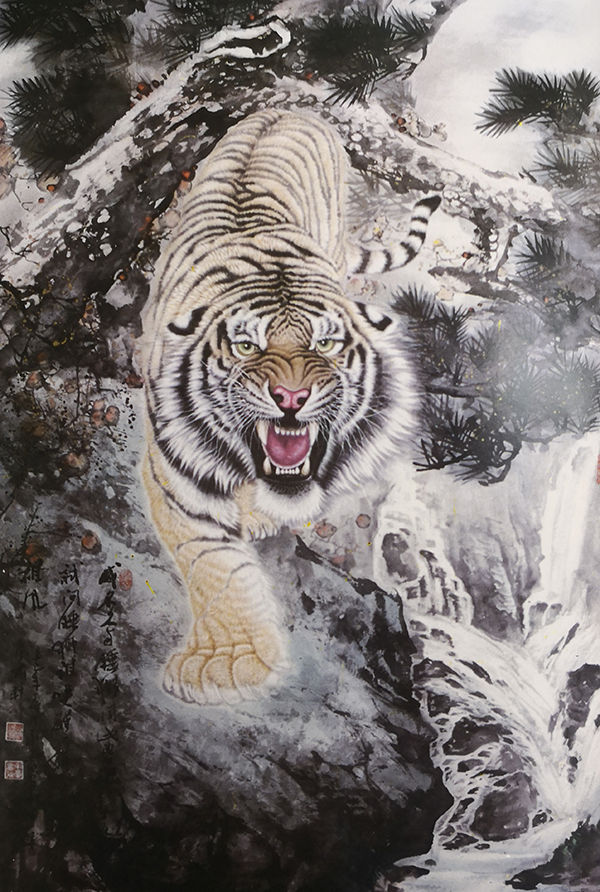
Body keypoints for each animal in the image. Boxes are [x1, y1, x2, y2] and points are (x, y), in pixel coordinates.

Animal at [142, 109, 440, 705]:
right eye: (246, 346)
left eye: (325, 344)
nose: (292, 399)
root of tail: (291, 107)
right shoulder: (174, 473)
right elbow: (210, 561)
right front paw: (227, 663)